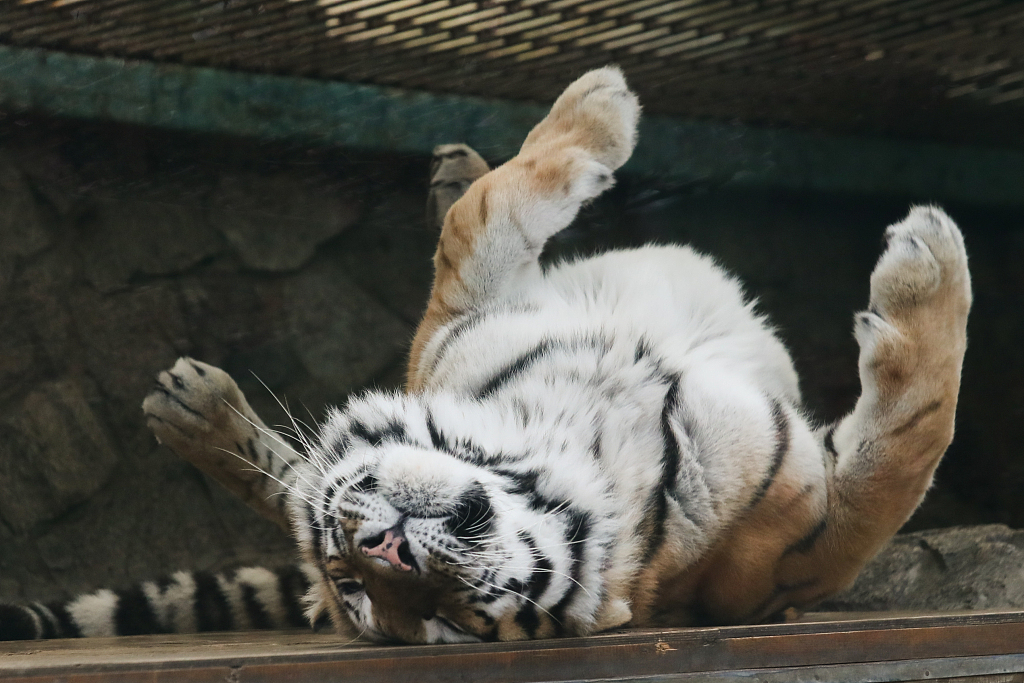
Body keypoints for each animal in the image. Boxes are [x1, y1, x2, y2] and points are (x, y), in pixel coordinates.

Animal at [0, 66, 966, 643]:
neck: (575, 432)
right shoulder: (466, 307)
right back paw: (193, 412)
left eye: (447, 612)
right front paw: (600, 107)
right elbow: (495, 209)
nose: (384, 551)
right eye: (363, 591)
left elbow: (901, 455)